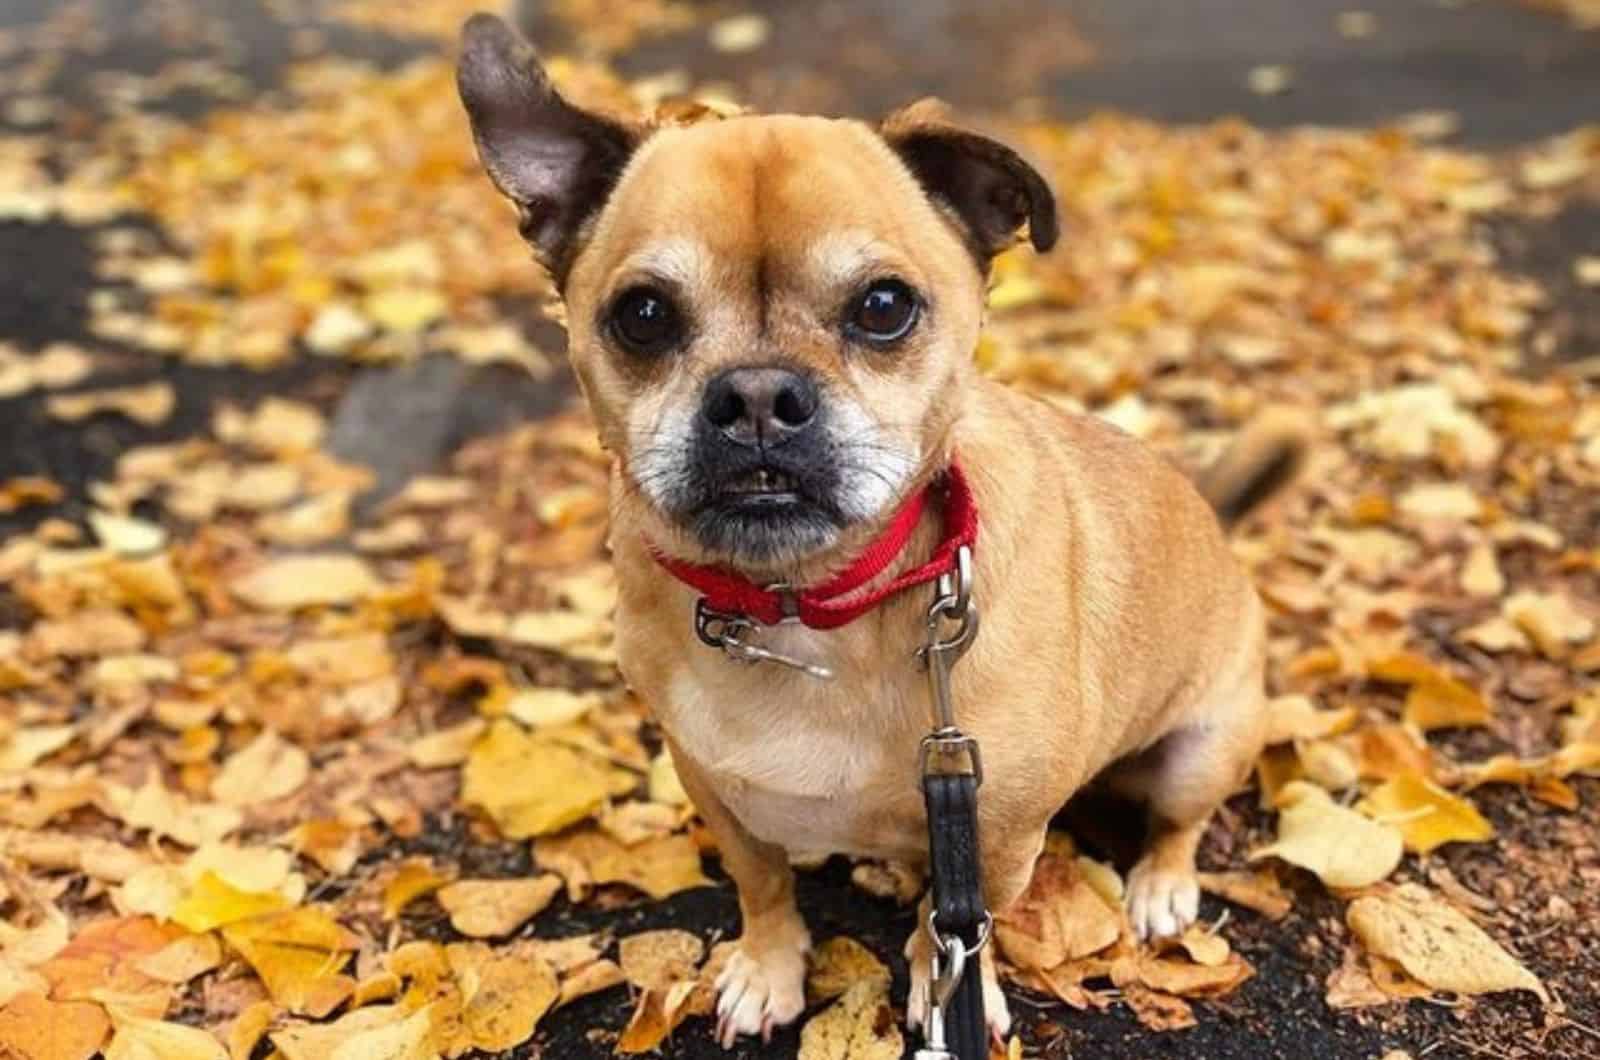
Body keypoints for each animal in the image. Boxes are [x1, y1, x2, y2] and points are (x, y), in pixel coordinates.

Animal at [454, 14, 1299, 1043]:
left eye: (885, 307)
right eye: (643, 315)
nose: (758, 396)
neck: (801, 606)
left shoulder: (997, 835)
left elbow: (962, 928)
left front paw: (953, 994)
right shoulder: (714, 790)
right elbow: (762, 883)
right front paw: (769, 968)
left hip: (1199, 751)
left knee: (1178, 824)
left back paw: (1159, 888)